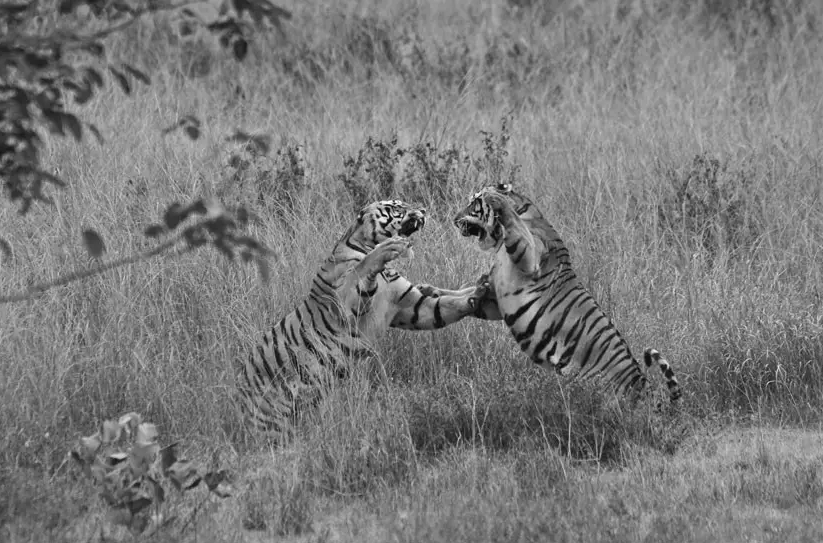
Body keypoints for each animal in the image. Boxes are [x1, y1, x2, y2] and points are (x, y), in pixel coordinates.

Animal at [236, 199, 488, 441]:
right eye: (397, 207)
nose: (424, 210)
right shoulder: (343, 305)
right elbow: (363, 267)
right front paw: (385, 249)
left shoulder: (412, 307)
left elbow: (444, 306)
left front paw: (477, 294)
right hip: (271, 419)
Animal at [452, 183, 682, 405]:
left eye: (474, 202)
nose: (454, 220)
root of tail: (645, 387)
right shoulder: (498, 302)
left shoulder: (530, 257)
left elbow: (514, 225)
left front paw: (496, 198)